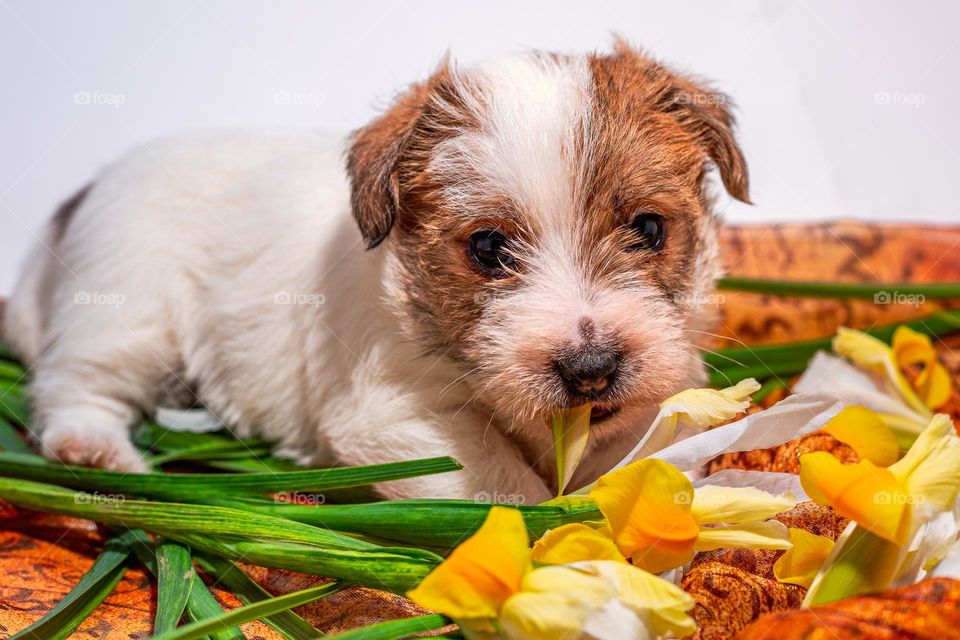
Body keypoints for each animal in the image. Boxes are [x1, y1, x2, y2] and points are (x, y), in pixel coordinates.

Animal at [3, 42, 748, 502]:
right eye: (488, 248)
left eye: (648, 229)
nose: (591, 369)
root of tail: (86, 190)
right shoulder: (394, 415)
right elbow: (506, 491)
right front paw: (557, 542)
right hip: (128, 311)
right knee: (75, 385)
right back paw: (94, 451)